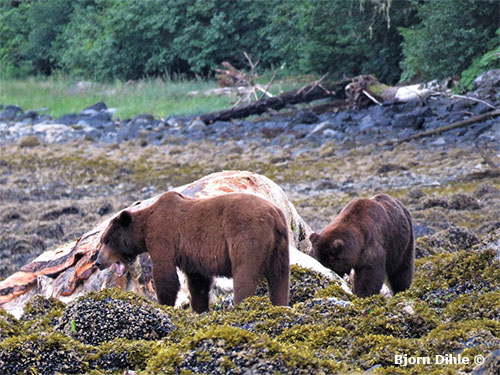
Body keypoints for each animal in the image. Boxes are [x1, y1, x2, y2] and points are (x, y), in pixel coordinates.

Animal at [94, 192, 290, 312]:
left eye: (107, 240)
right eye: (102, 241)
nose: (98, 262)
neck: (144, 228)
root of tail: (274, 214)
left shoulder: (163, 235)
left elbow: (165, 276)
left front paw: (165, 304)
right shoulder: (192, 255)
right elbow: (198, 282)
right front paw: (200, 308)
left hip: (247, 236)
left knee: (245, 273)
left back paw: (242, 303)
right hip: (280, 246)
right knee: (280, 278)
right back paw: (280, 304)